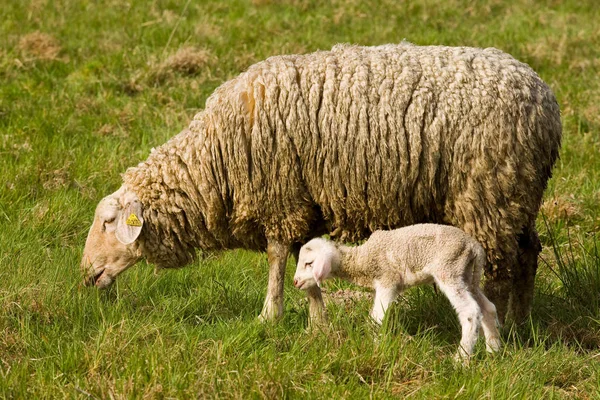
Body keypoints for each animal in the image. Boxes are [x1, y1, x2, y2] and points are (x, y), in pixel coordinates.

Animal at [81, 43, 564, 324]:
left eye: (108, 222)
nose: (86, 276)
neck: (214, 160)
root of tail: (545, 102)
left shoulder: (279, 196)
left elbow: (278, 257)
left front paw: (269, 316)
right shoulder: (301, 200)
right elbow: (303, 258)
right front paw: (316, 322)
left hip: (487, 194)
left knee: (498, 271)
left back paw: (498, 328)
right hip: (517, 195)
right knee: (529, 254)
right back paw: (522, 325)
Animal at [292, 225, 504, 360]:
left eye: (309, 263)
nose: (295, 282)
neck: (361, 260)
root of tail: (475, 247)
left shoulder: (387, 280)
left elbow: (377, 318)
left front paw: (375, 348)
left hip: (448, 268)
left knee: (470, 311)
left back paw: (461, 359)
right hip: (467, 275)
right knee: (488, 308)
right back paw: (493, 351)